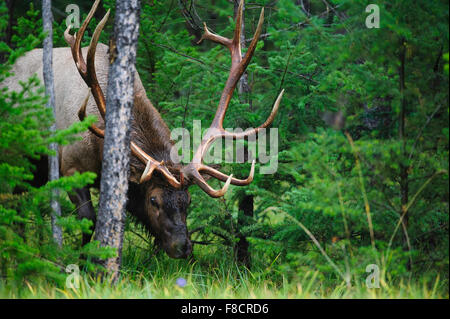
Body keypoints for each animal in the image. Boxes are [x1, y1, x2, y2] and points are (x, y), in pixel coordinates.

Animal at [5, 0, 284, 258]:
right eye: (154, 200)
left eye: (188, 201)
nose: (183, 247)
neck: (99, 144)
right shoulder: (71, 166)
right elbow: (89, 220)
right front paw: (83, 261)